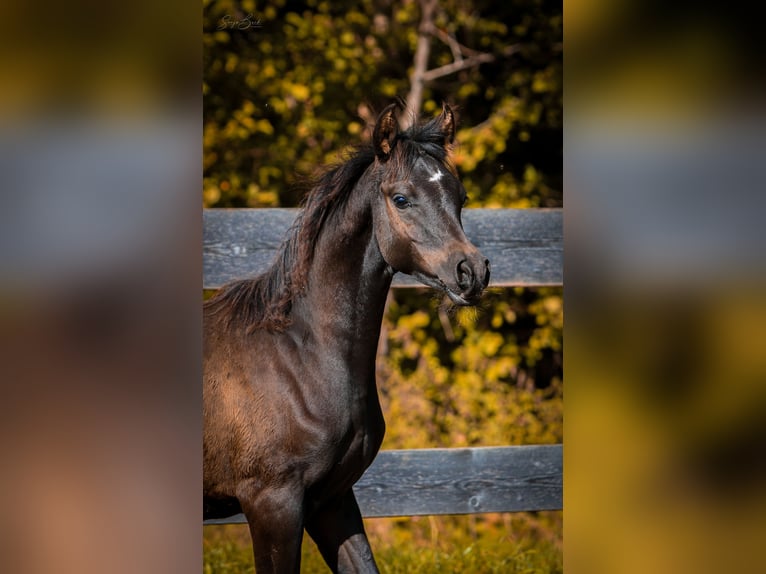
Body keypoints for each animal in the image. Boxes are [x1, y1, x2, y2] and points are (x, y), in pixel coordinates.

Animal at [204, 101, 492, 572]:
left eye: (461, 197)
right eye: (401, 199)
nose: (472, 272)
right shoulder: (272, 503)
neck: (300, 357)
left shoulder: (332, 500)